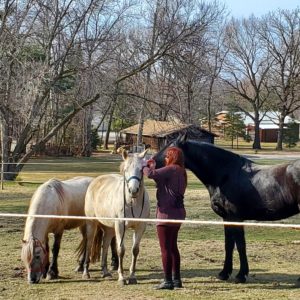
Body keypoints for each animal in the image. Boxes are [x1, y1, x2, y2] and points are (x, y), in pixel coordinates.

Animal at [154, 134, 300, 284]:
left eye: (169, 149)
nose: (150, 163)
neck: (225, 174)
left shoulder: (235, 217)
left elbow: (240, 245)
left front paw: (241, 275)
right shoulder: (227, 218)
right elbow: (228, 245)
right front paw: (224, 273)